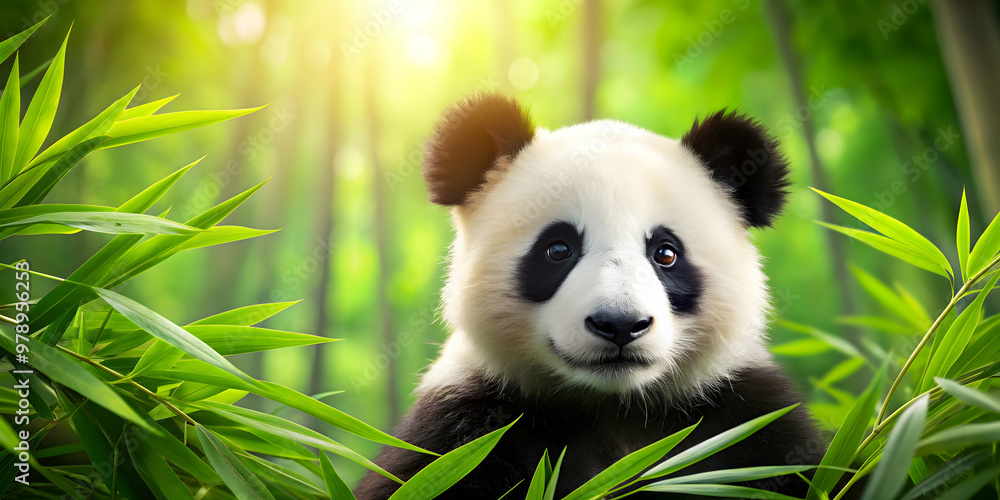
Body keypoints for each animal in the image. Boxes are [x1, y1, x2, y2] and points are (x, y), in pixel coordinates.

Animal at [355, 93, 825, 499]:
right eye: (558, 249)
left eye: (666, 253)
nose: (620, 324)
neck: (614, 406)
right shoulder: (464, 429)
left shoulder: (749, 421)